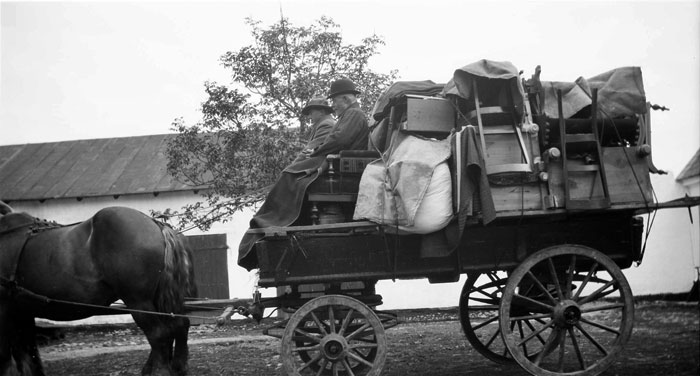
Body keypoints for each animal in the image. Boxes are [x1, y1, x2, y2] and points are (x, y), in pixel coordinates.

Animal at [0, 204, 197, 374]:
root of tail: (155, 224)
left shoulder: (7, 312)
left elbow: (7, 357)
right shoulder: (22, 312)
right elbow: (28, 355)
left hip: (138, 301)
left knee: (159, 333)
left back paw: (159, 370)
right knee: (179, 325)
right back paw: (176, 367)